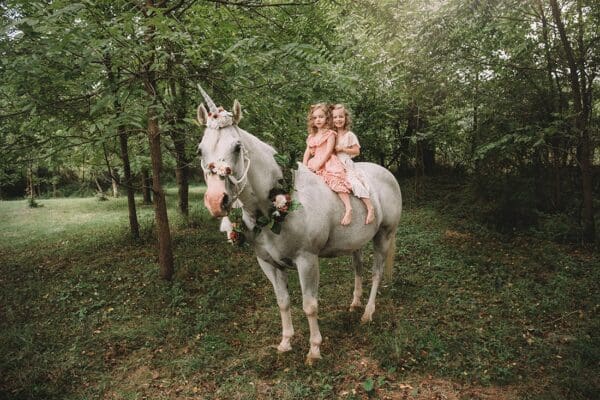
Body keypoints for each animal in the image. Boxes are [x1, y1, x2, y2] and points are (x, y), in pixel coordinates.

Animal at [198, 88, 404, 366]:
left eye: (237, 146)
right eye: (200, 150)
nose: (215, 201)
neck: (278, 204)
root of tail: (387, 175)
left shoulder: (307, 261)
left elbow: (309, 305)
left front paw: (314, 349)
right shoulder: (268, 263)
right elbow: (283, 302)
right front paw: (285, 342)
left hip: (384, 236)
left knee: (376, 273)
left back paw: (368, 313)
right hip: (357, 243)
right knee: (358, 269)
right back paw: (355, 304)